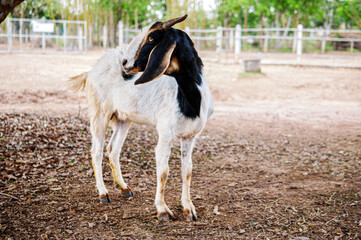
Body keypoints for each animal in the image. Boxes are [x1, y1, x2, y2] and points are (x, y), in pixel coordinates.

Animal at [69, 15, 212, 221]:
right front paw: (162, 210)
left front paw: (188, 208)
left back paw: (124, 188)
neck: (190, 99)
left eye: (152, 37)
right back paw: (103, 193)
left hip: (123, 119)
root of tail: (92, 70)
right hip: (99, 114)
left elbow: (188, 171)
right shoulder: (165, 133)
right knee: (96, 151)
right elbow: (163, 171)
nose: (125, 62)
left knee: (113, 149)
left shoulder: (190, 136)